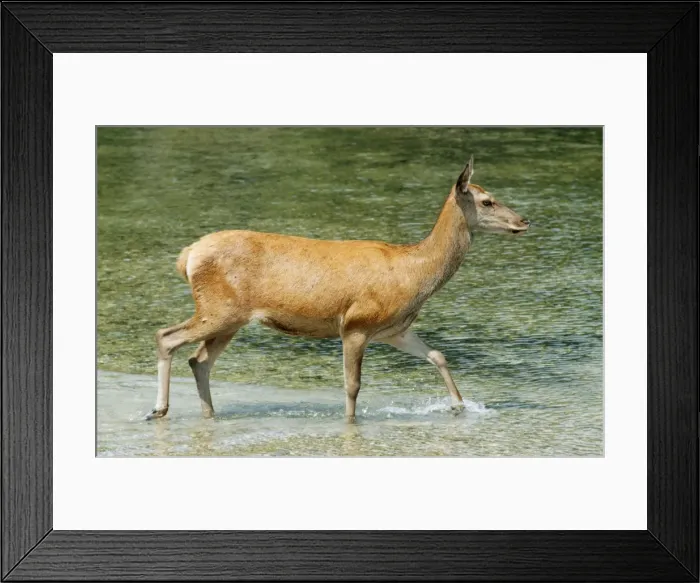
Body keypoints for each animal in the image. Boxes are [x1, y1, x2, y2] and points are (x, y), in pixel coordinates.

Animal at [146, 156, 530, 422]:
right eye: (487, 201)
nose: (524, 221)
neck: (414, 274)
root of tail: (187, 256)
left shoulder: (394, 329)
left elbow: (438, 355)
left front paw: (460, 406)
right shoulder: (356, 324)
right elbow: (352, 385)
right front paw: (350, 422)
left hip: (230, 318)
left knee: (199, 360)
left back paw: (207, 413)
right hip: (219, 308)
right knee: (167, 336)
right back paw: (159, 409)